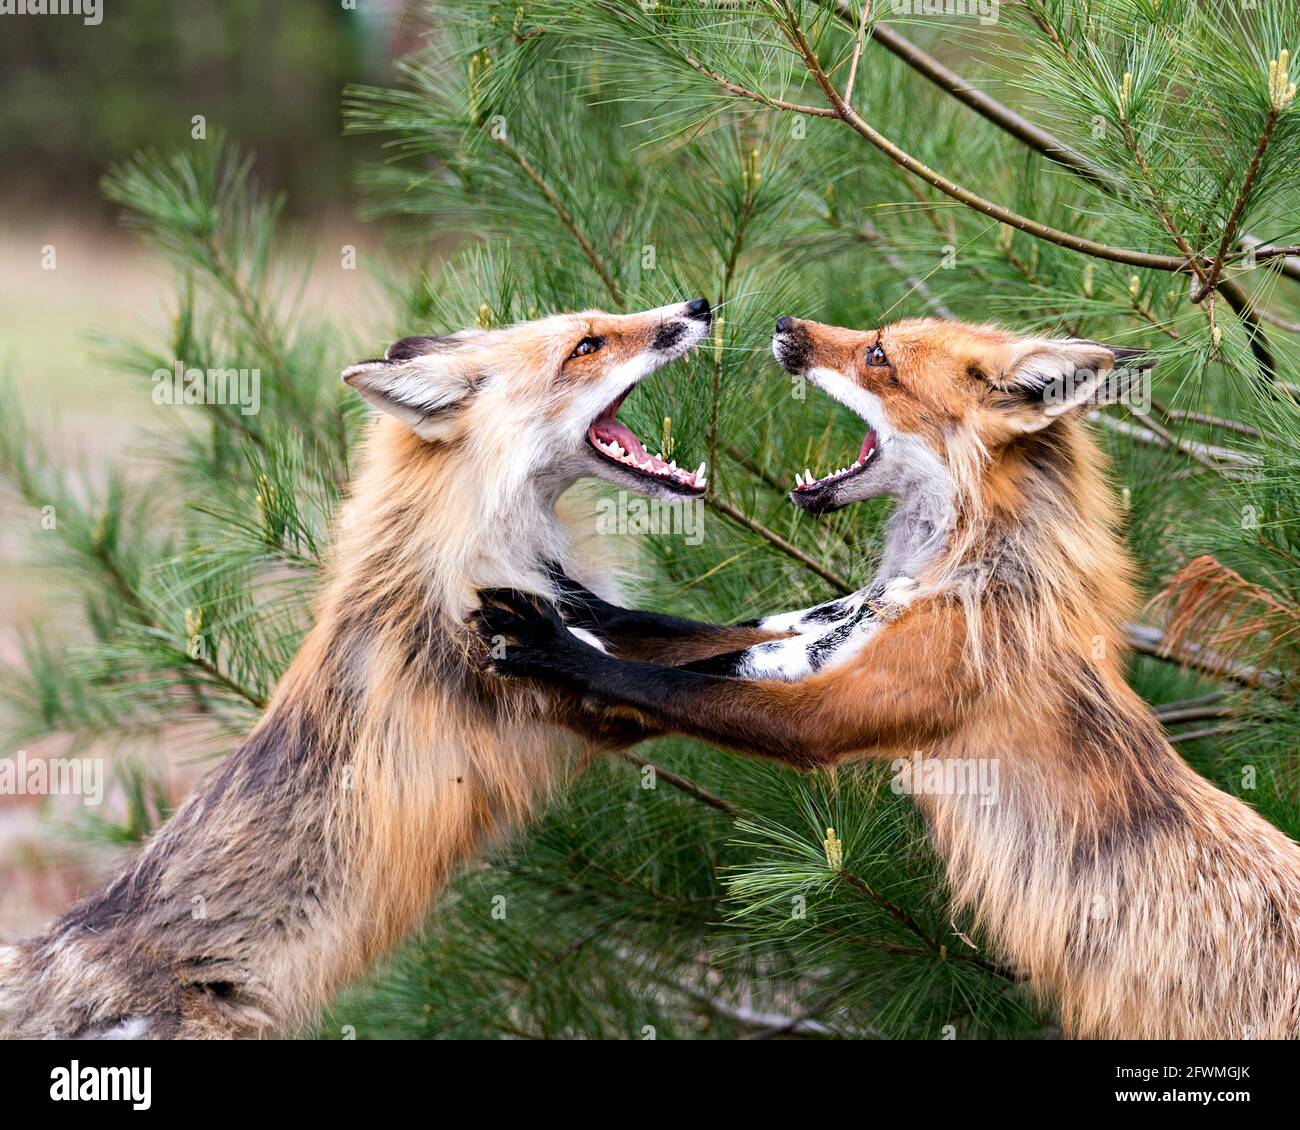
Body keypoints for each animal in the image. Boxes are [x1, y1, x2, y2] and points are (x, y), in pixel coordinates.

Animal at [0, 295, 780, 1035]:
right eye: (586, 346)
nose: (697, 307)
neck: (468, 554)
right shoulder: (567, 695)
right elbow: (709, 672)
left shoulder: (595, 628)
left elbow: (712, 635)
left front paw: (803, 618)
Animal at [478, 313, 1300, 1035]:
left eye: (877, 355)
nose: (783, 324)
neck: (956, 577)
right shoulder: (807, 639)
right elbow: (667, 636)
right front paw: (571, 600)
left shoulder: (829, 710)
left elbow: (669, 683)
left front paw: (555, 648)